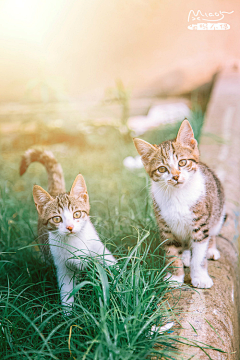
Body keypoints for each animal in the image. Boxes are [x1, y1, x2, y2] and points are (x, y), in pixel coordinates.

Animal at [19, 149, 115, 310]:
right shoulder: (62, 266)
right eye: (57, 219)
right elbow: (67, 290)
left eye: (77, 214)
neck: (74, 242)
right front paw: (68, 313)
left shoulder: (98, 248)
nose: (70, 227)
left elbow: (112, 265)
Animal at [133, 119, 225, 288]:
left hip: (218, 209)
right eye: (162, 169)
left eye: (182, 162)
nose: (175, 176)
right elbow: (172, 253)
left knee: (212, 232)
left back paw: (210, 249)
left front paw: (200, 276)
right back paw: (186, 256)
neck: (177, 195)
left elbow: (199, 254)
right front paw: (175, 278)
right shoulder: (166, 227)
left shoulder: (200, 225)